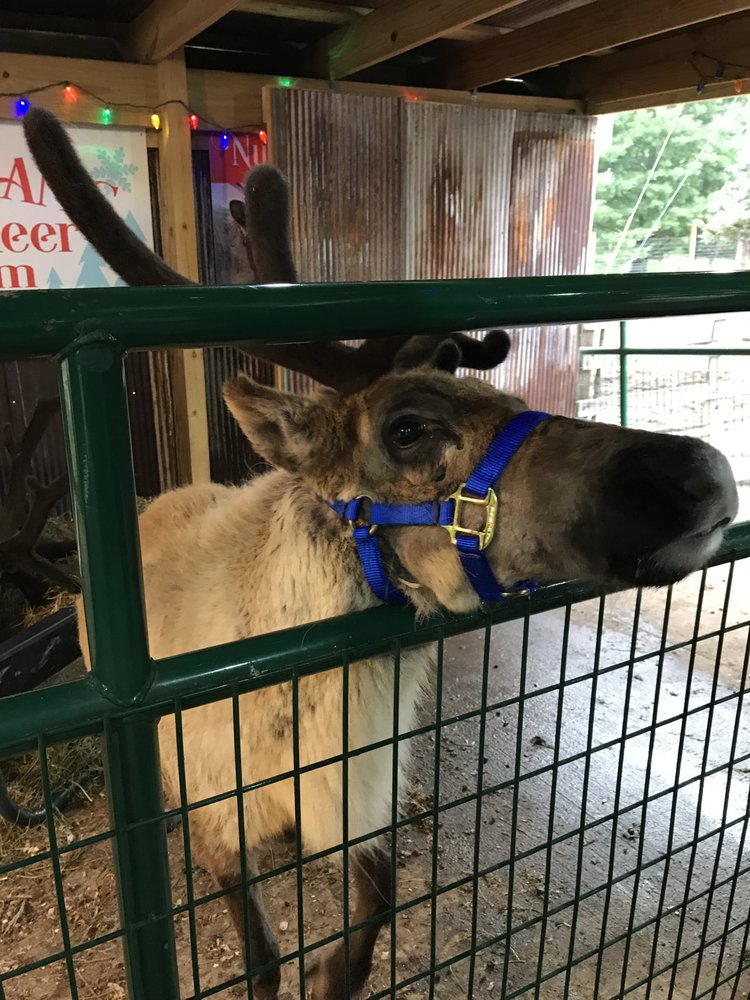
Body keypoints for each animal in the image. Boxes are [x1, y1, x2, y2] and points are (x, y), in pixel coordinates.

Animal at [21, 108, 739, 999]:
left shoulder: (358, 800)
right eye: (407, 427)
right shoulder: (221, 814)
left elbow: (380, 901)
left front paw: (332, 971)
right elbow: (261, 958)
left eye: (511, 398)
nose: (699, 474)